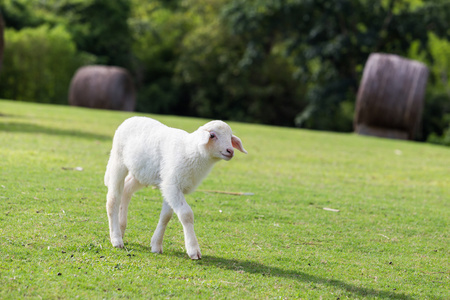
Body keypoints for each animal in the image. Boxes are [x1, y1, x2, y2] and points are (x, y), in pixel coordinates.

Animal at [103, 116, 248, 258]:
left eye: (230, 137)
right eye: (212, 135)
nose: (230, 151)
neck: (191, 151)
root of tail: (130, 119)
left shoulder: (170, 186)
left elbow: (166, 216)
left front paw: (156, 245)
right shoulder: (172, 185)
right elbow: (186, 214)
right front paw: (193, 250)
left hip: (141, 173)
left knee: (126, 189)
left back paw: (121, 228)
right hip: (118, 161)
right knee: (113, 199)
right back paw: (116, 239)